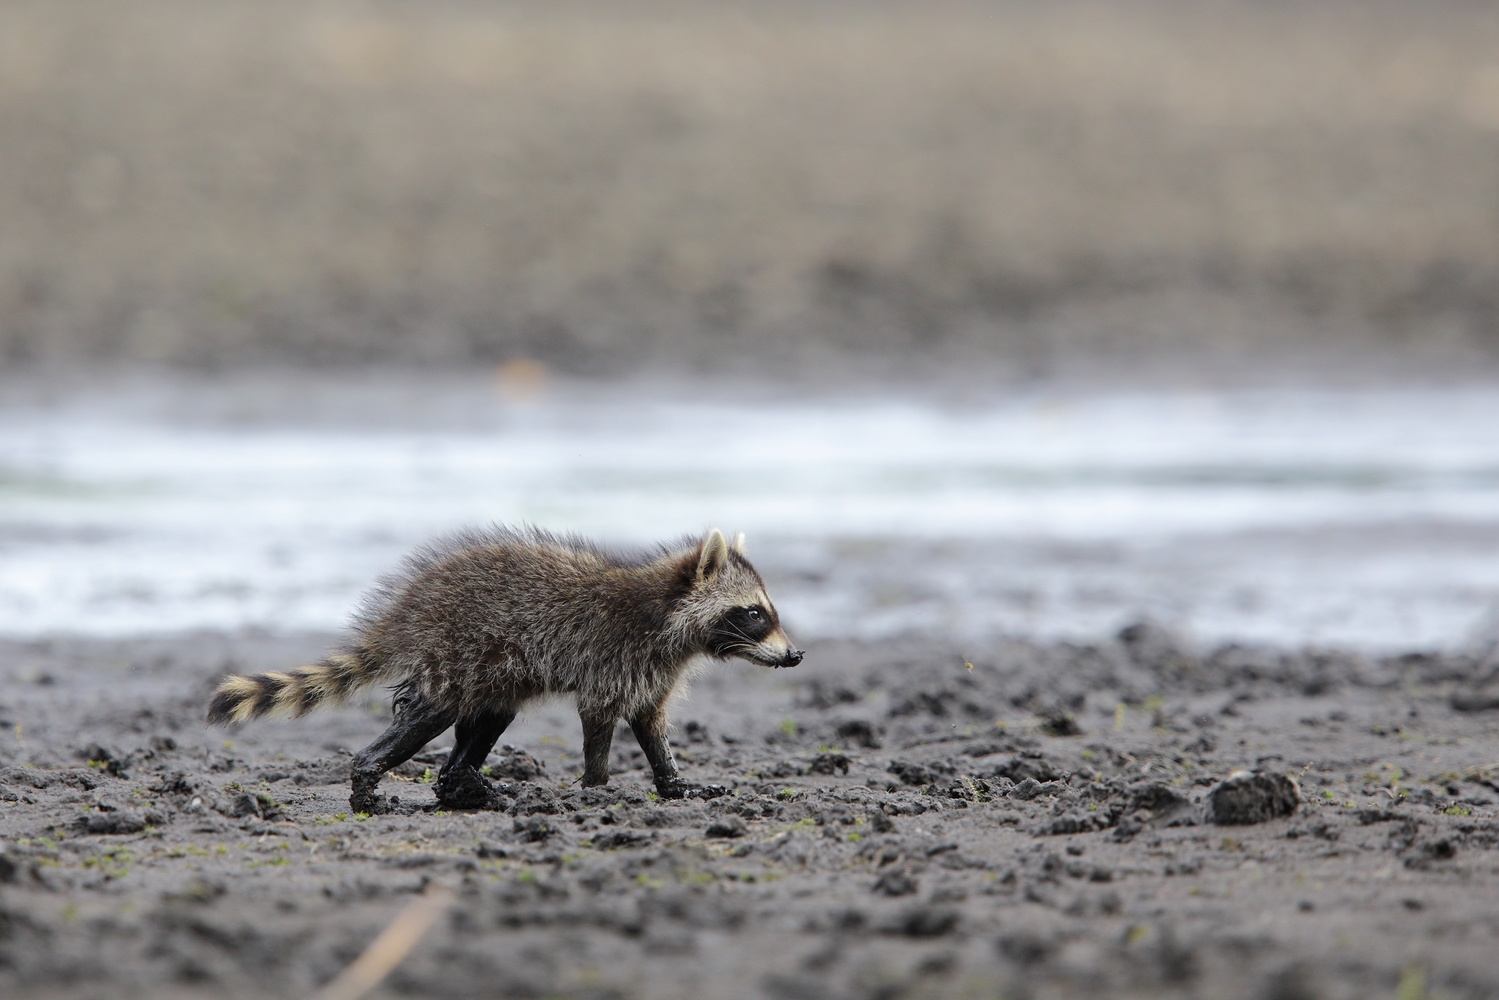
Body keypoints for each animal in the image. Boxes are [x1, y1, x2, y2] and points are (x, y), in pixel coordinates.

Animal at [208, 524, 809, 815]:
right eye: (754, 613)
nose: (795, 656)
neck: (661, 608)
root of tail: (404, 610)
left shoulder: (652, 672)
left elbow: (649, 726)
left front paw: (673, 782)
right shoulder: (613, 657)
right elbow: (598, 724)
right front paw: (596, 787)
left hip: (490, 673)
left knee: (487, 718)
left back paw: (461, 785)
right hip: (455, 652)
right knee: (430, 713)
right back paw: (370, 779)